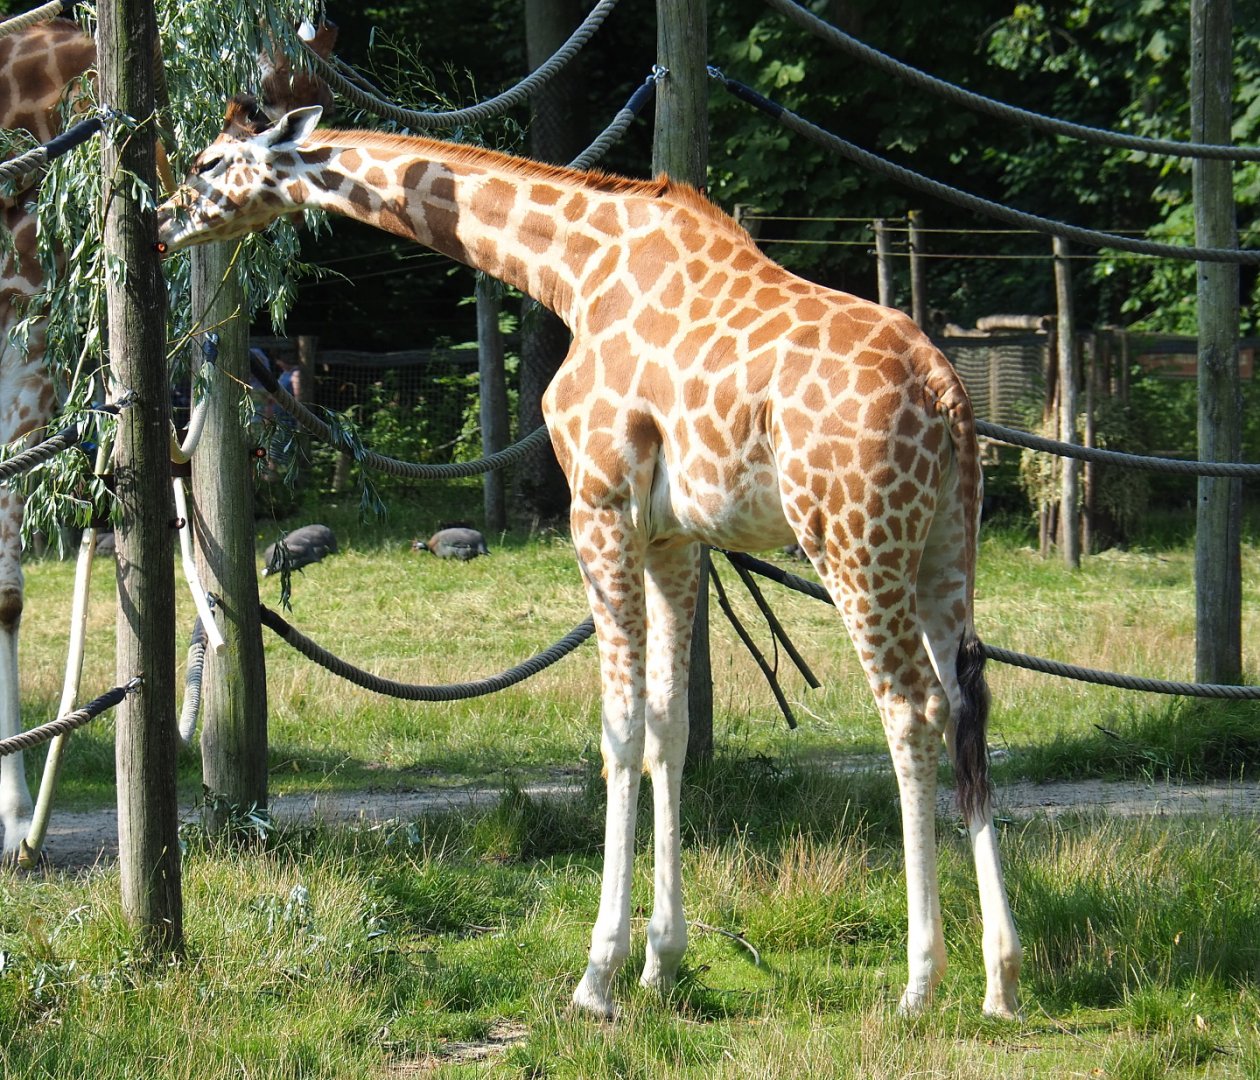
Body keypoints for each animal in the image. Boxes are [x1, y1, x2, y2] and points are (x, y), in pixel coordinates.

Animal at [156, 99, 1023, 1019]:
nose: (160, 220)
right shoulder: (676, 537)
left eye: (210, 161)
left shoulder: (598, 507)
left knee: (910, 710)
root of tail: (946, 389)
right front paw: (662, 960)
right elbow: (669, 727)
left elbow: (617, 730)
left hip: (852, 538)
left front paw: (598, 977)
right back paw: (1000, 978)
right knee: (967, 705)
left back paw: (921, 981)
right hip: (943, 548)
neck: (575, 269)